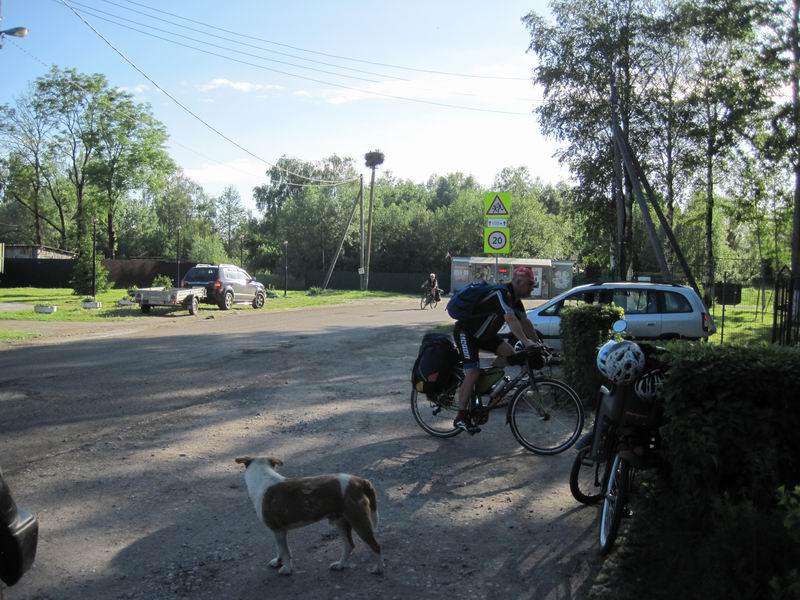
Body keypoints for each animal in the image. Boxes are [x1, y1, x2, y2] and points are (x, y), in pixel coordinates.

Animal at [234, 458, 384, 576]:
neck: (263, 478)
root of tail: (360, 481)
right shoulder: (278, 531)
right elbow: (280, 550)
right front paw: (278, 562)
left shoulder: (278, 530)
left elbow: (285, 552)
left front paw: (286, 568)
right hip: (341, 522)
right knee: (349, 546)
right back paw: (340, 565)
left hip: (359, 522)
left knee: (376, 546)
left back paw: (378, 568)